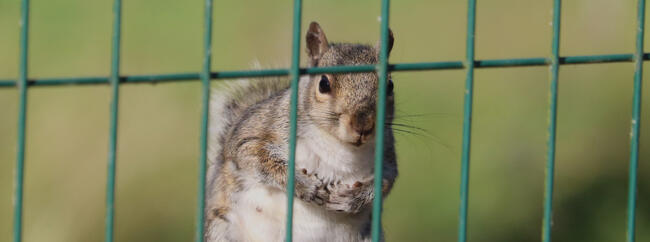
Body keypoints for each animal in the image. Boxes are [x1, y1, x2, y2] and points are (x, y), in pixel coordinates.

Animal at [204, 21, 394, 241]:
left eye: (390, 85)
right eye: (323, 84)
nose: (363, 125)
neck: (340, 147)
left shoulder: (388, 156)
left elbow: (386, 181)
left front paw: (353, 199)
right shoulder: (256, 130)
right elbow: (251, 153)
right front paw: (304, 184)